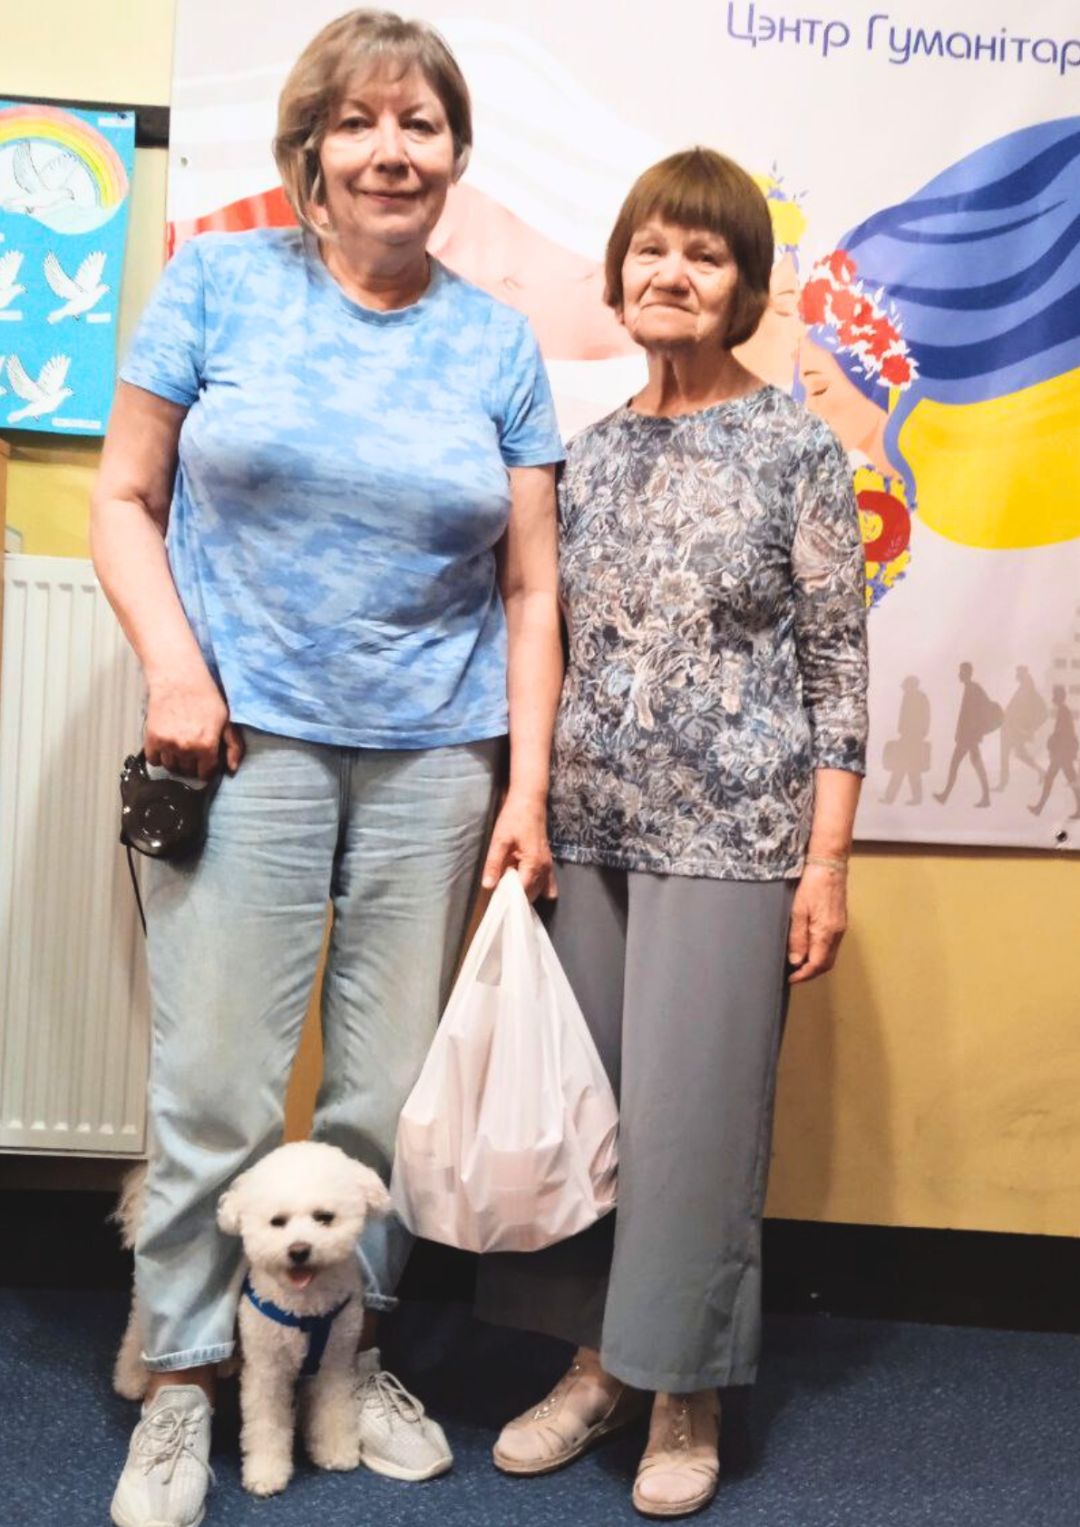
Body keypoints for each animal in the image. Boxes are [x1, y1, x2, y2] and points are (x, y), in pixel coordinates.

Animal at [112, 1141, 391, 1497]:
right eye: (277, 1221)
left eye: (324, 1218)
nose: (299, 1250)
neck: (305, 1309)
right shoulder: (267, 1372)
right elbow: (267, 1426)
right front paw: (266, 1474)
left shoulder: (335, 1362)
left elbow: (334, 1409)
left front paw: (335, 1450)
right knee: (137, 1334)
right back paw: (130, 1379)